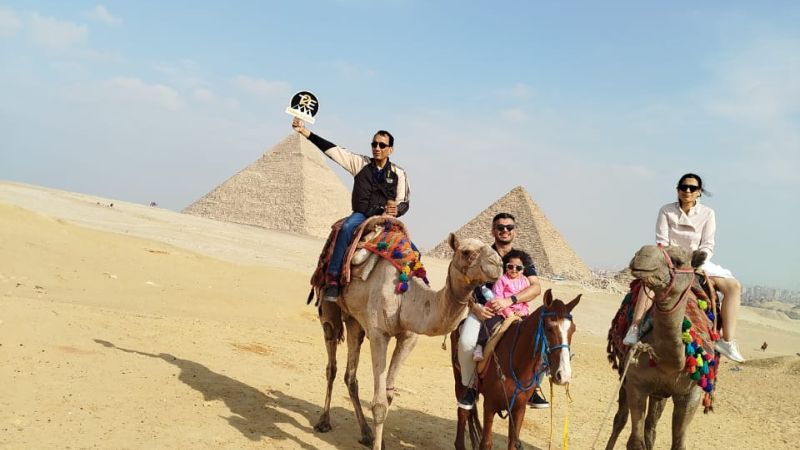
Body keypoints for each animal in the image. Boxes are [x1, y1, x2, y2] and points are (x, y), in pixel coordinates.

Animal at [312, 232, 500, 450]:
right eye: (466, 252)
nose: (498, 264)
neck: (405, 296)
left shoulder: (409, 338)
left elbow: (388, 395)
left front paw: (380, 441)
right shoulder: (378, 335)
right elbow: (379, 403)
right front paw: (378, 444)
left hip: (354, 319)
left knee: (350, 374)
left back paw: (366, 433)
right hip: (330, 309)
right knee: (331, 363)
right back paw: (324, 421)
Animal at [450, 290, 580, 448]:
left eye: (573, 330)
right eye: (549, 328)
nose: (564, 375)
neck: (517, 367)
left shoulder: (519, 409)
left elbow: (513, 443)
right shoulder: (490, 405)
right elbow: (486, 443)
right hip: (459, 381)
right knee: (463, 412)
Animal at [604, 246, 708, 450]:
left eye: (678, 262)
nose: (641, 255)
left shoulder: (691, 394)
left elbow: (678, 444)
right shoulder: (636, 383)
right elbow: (635, 441)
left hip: (660, 394)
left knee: (651, 427)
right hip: (627, 377)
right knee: (620, 419)